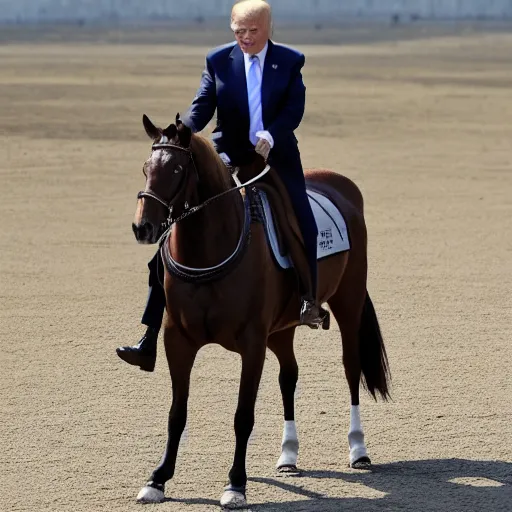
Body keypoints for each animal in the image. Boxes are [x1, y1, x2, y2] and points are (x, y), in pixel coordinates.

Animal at [131, 116, 388, 508]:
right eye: (147, 168)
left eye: (175, 169)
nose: (142, 227)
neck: (209, 249)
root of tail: (341, 183)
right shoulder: (178, 341)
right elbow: (177, 413)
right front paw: (158, 479)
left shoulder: (251, 345)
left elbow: (243, 416)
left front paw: (235, 484)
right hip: (281, 329)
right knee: (289, 376)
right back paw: (288, 455)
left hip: (349, 301)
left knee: (351, 367)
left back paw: (358, 449)